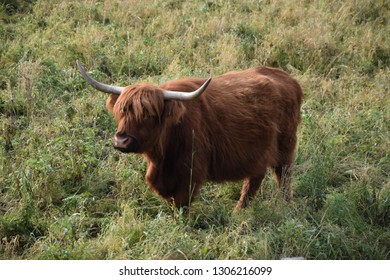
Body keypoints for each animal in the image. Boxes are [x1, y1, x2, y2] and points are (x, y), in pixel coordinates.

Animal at [76, 60, 302, 210]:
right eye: (122, 111)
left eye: (148, 115)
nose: (121, 141)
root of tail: (287, 79)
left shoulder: (190, 173)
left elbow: (182, 206)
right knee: (256, 176)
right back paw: (240, 211)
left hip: (286, 145)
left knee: (283, 174)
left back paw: (284, 205)